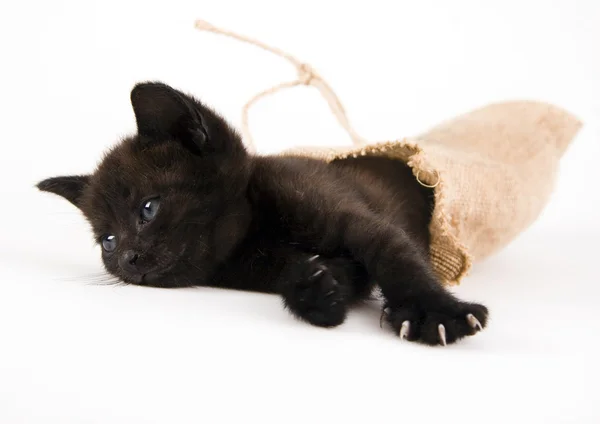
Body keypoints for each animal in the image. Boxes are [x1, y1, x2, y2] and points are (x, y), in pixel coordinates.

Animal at [36, 82, 488, 344]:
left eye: (148, 208)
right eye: (107, 242)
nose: (128, 258)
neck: (255, 232)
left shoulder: (352, 216)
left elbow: (394, 254)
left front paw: (435, 313)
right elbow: (320, 272)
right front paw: (316, 292)